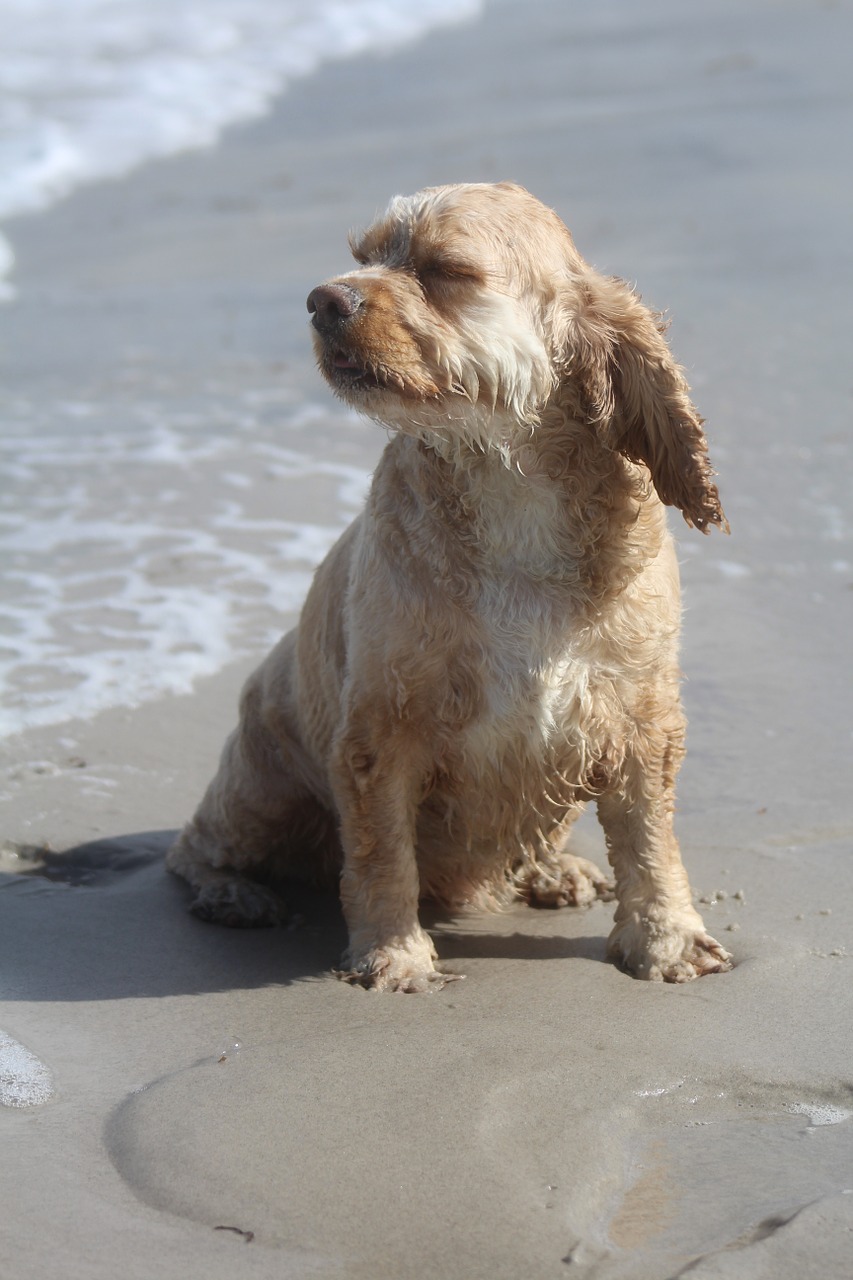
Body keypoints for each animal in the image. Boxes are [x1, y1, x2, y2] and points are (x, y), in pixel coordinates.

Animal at [166, 180, 732, 988]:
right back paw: (232, 893)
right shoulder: (380, 730)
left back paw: (554, 871)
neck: (510, 488)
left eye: (444, 270)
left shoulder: (639, 719)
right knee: (192, 846)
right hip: (260, 787)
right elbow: (381, 855)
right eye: (365, 255)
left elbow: (651, 841)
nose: (322, 299)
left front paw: (668, 939)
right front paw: (393, 956)